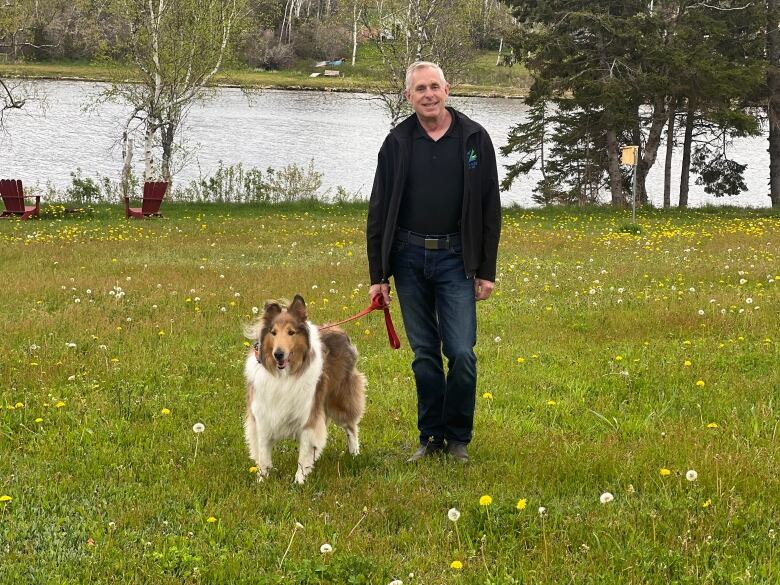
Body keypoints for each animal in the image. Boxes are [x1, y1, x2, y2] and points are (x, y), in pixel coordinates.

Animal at [244, 294, 366, 482]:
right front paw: (262, 480)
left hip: (339, 399)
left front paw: (299, 480)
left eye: (291, 332)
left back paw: (354, 453)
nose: (278, 354)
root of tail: (339, 330)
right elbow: (263, 454)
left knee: (351, 427)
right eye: (273, 332)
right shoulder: (263, 416)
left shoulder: (308, 414)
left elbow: (304, 452)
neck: (284, 375)